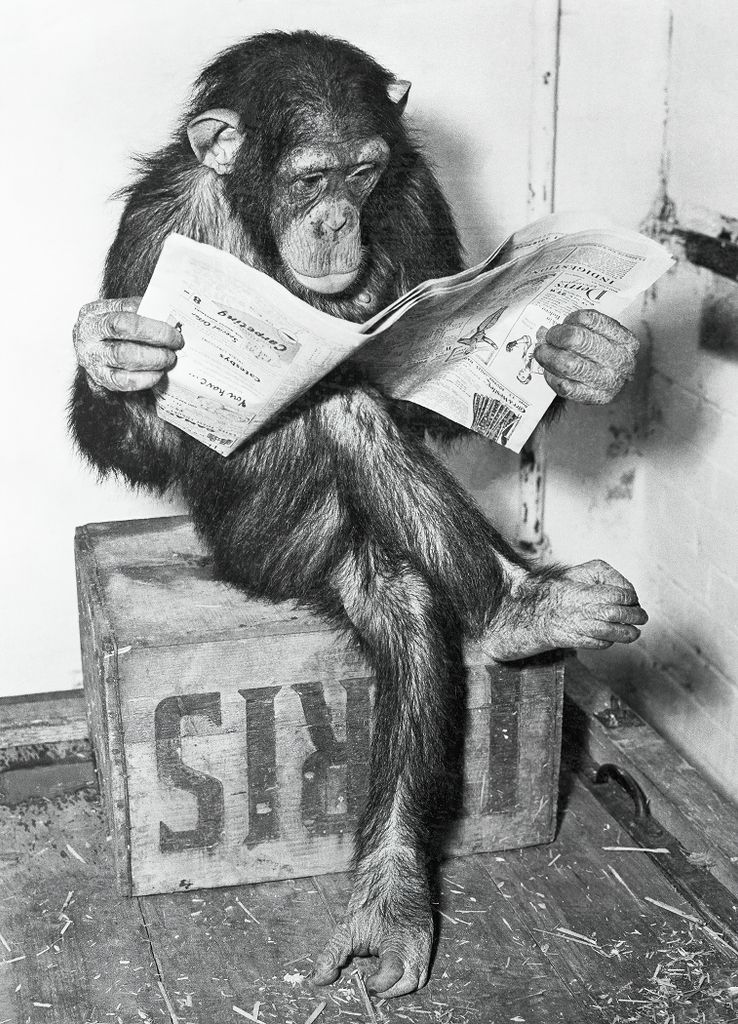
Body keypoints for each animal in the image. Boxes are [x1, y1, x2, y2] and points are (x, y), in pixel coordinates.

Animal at [70, 31, 647, 999]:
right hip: (272, 547)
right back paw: (519, 611)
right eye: (310, 178)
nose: (338, 218)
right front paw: (114, 350)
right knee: (345, 433)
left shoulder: (416, 197)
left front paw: (585, 354)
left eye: (364, 172)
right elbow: (140, 437)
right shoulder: (155, 227)